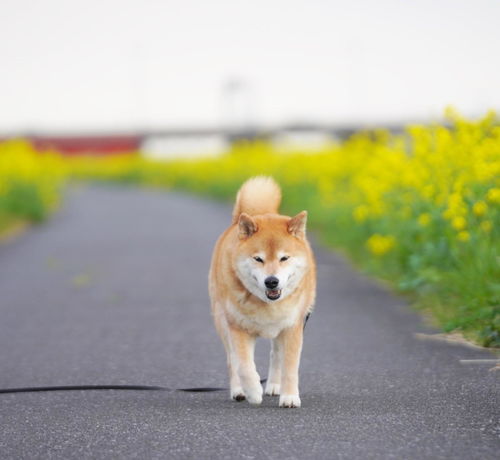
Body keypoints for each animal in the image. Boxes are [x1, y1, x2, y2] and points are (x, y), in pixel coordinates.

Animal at [208, 177, 316, 410]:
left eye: (284, 258)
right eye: (258, 259)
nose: (271, 281)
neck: (266, 304)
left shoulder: (293, 327)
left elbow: (290, 367)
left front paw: (289, 396)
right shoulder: (237, 327)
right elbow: (244, 365)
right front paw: (253, 391)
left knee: (276, 355)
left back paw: (274, 386)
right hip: (222, 321)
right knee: (232, 360)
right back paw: (239, 391)